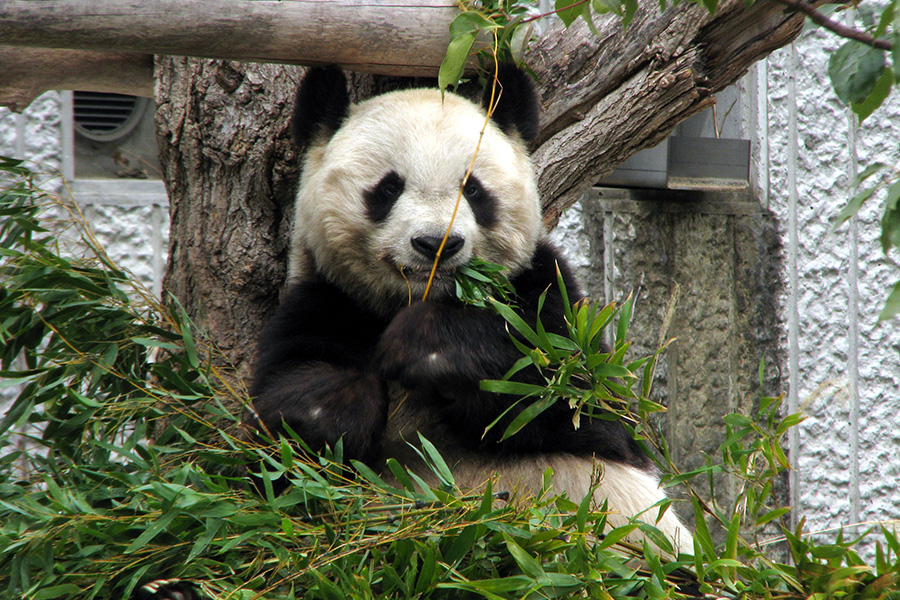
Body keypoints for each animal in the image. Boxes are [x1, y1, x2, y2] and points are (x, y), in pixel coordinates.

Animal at [135, 64, 688, 600]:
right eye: (387, 188)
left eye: (474, 189)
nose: (436, 243)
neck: (421, 296)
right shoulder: (324, 300)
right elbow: (278, 430)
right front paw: (340, 406)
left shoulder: (550, 294)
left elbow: (575, 401)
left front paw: (429, 346)